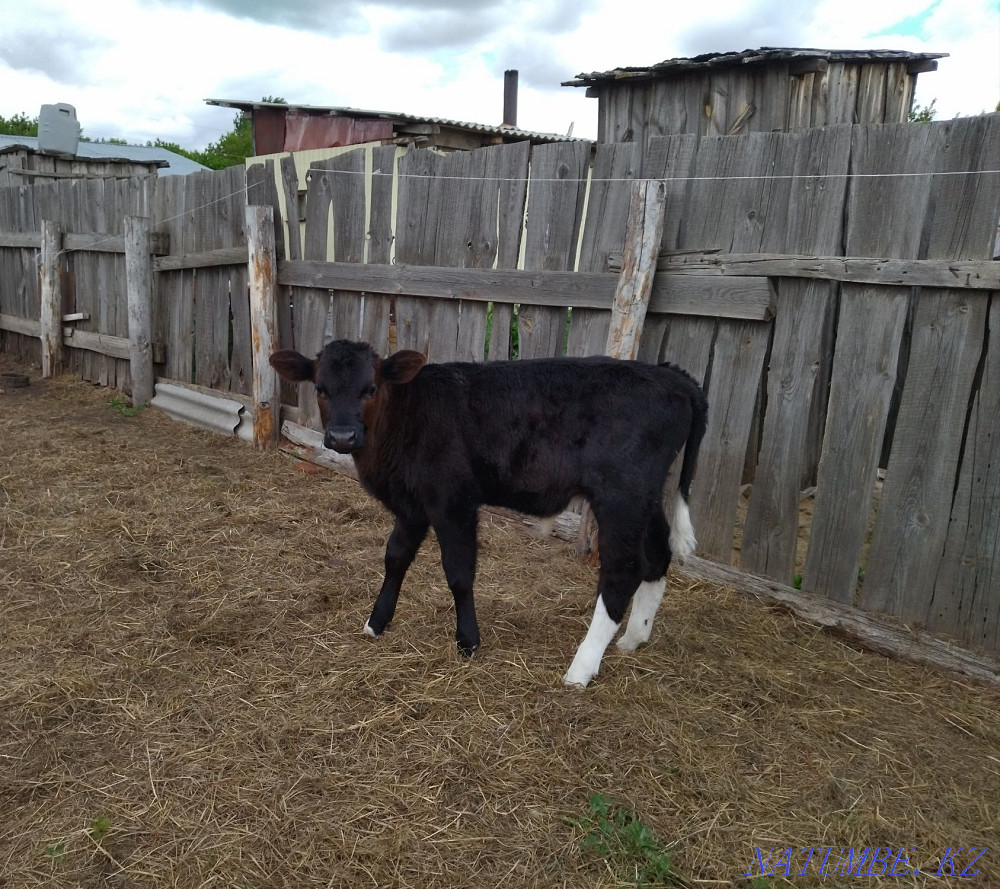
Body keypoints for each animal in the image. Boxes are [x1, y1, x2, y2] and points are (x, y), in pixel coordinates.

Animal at [270, 340, 707, 687]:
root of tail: (671, 375)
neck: (407, 415)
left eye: (371, 388)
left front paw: (467, 641)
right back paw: (634, 639)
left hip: (621, 493)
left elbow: (459, 572)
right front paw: (376, 623)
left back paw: (581, 668)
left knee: (623, 570)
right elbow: (395, 558)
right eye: (321, 389)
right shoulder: (412, 505)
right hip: (645, 496)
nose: (342, 436)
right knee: (658, 554)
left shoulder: (453, 500)